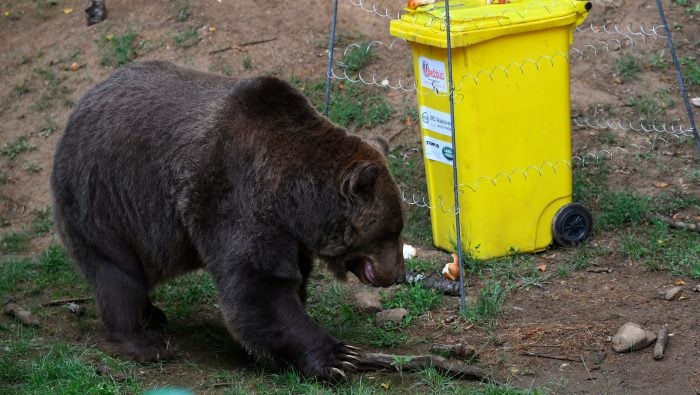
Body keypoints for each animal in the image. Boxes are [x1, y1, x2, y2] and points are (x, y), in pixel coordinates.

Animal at [50, 61, 404, 380]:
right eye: (389, 232)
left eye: (397, 227)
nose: (398, 274)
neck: (292, 198)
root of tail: (79, 107)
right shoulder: (235, 195)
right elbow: (258, 286)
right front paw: (338, 356)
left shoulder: (287, 232)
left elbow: (291, 277)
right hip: (105, 199)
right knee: (117, 274)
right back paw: (143, 344)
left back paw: (153, 314)